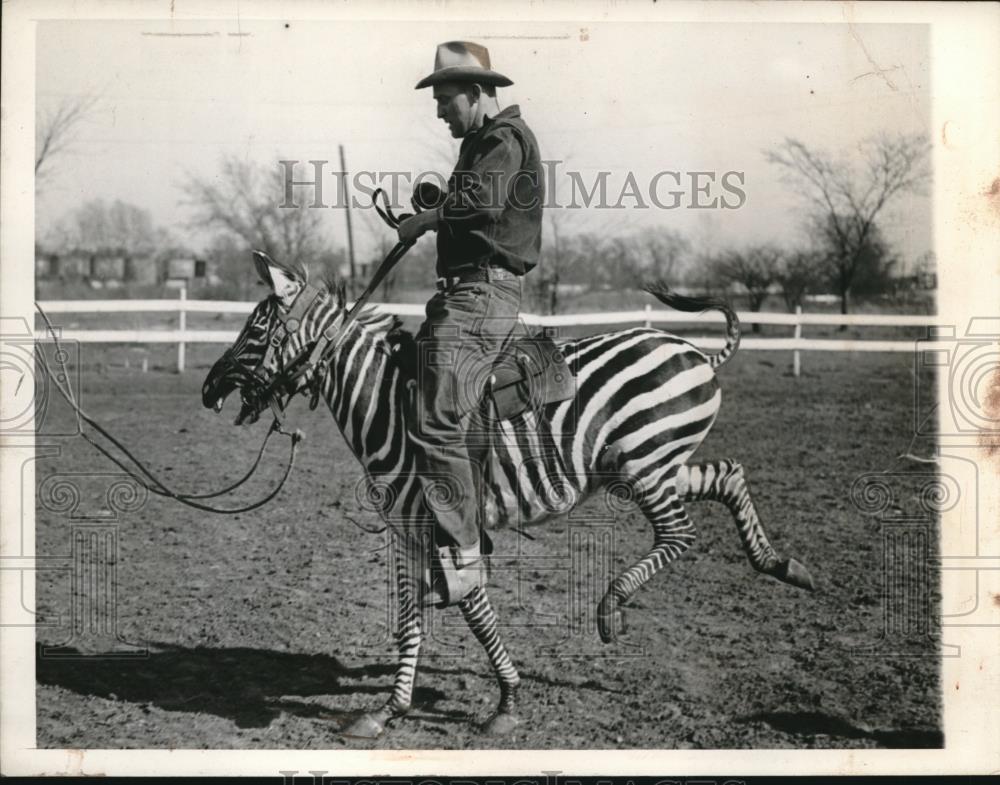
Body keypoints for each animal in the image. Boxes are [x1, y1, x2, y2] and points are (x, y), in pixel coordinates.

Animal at [201, 270, 812, 736]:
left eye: (258, 326)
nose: (208, 389)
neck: (388, 404)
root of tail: (696, 351)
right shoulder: (416, 526)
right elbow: (425, 615)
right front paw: (400, 709)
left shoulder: (440, 519)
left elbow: (458, 609)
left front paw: (495, 702)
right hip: (652, 464)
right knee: (728, 474)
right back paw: (782, 565)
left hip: (644, 464)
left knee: (680, 534)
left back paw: (612, 606)